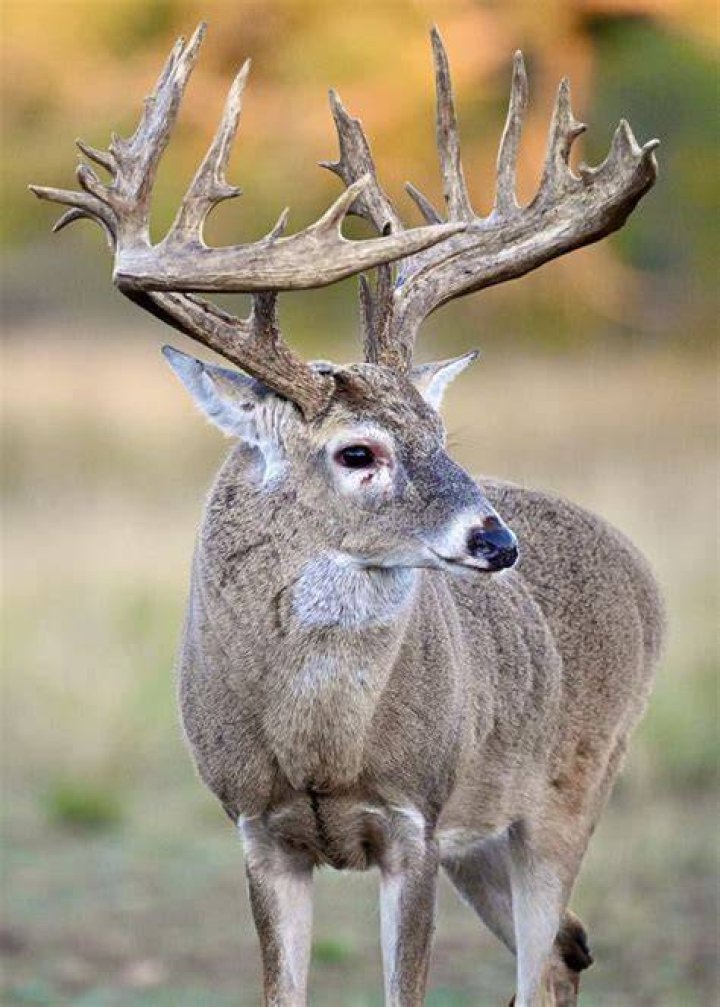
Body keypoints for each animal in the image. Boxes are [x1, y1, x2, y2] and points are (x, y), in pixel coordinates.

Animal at [31, 23, 664, 1007]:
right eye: (357, 452)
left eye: (440, 431)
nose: (495, 539)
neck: (321, 749)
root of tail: (643, 575)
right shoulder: (257, 830)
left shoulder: (416, 822)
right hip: (491, 834)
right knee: (565, 951)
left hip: (572, 783)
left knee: (546, 956)